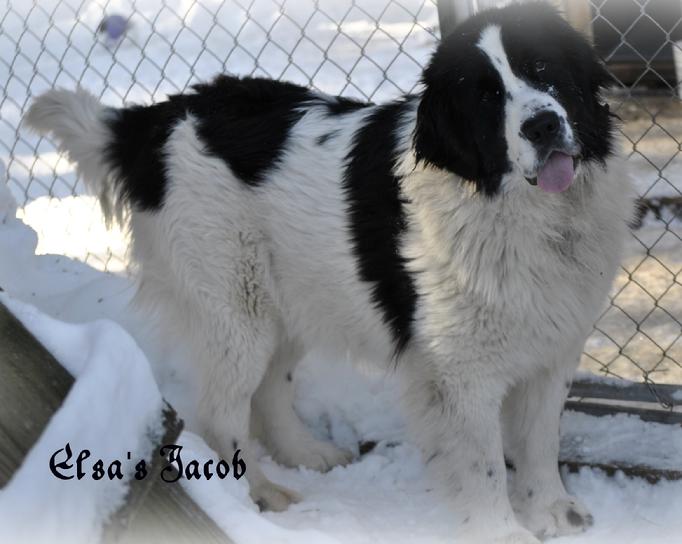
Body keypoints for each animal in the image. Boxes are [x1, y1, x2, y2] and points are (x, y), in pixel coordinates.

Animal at [26, 2, 632, 540]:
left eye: (544, 69)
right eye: (486, 97)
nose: (543, 125)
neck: (519, 210)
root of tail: (158, 116)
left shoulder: (552, 348)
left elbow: (540, 441)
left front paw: (552, 511)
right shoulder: (459, 373)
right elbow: (483, 466)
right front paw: (504, 533)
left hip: (290, 297)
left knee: (270, 389)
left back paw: (306, 453)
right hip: (235, 309)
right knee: (222, 412)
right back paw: (258, 494)